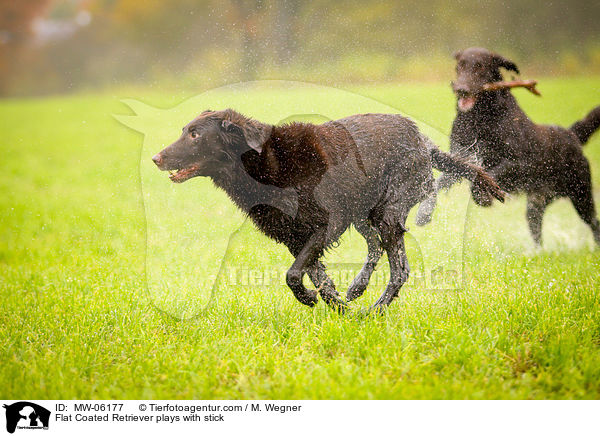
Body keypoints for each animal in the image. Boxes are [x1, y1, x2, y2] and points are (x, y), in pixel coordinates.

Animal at [152, 110, 504, 314]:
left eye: (195, 134)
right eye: (184, 130)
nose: (156, 157)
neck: (266, 164)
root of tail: (425, 145)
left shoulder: (326, 226)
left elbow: (294, 273)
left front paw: (315, 301)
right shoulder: (295, 237)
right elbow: (314, 275)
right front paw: (337, 307)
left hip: (387, 212)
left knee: (399, 269)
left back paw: (375, 310)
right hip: (364, 213)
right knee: (375, 247)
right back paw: (358, 289)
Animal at [414, 48, 600, 245]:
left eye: (480, 66)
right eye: (460, 66)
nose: (461, 89)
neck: (479, 119)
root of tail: (571, 134)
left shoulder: (520, 163)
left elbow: (493, 172)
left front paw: (482, 195)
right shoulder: (462, 158)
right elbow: (439, 182)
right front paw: (424, 212)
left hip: (581, 194)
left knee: (594, 222)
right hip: (536, 203)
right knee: (536, 228)